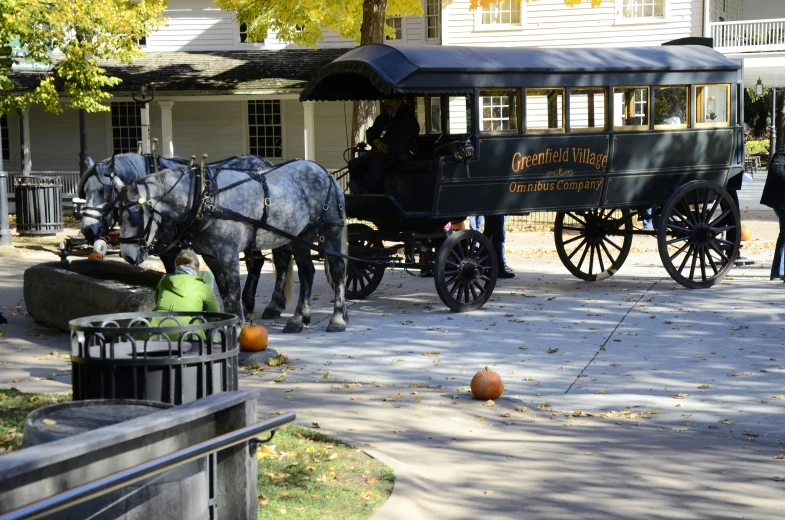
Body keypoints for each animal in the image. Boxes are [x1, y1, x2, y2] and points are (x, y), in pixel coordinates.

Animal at [77, 150, 278, 312]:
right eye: (85, 191)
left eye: (104, 191)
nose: (87, 229)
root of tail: (263, 162)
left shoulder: (173, 248)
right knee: (256, 263)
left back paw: (271, 307)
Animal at [118, 161, 348, 334]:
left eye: (132, 217)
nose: (126, 256)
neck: (206, 198)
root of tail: (324, 171)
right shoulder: (210, 255)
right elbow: (224, 290)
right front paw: (229, 322)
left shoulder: (228, 252)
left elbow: (234, 290)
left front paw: (238, 324)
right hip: (300, 238)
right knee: (307, 272)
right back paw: (299, 319)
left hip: (330, 233)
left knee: (338, 271)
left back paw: (337, 318)